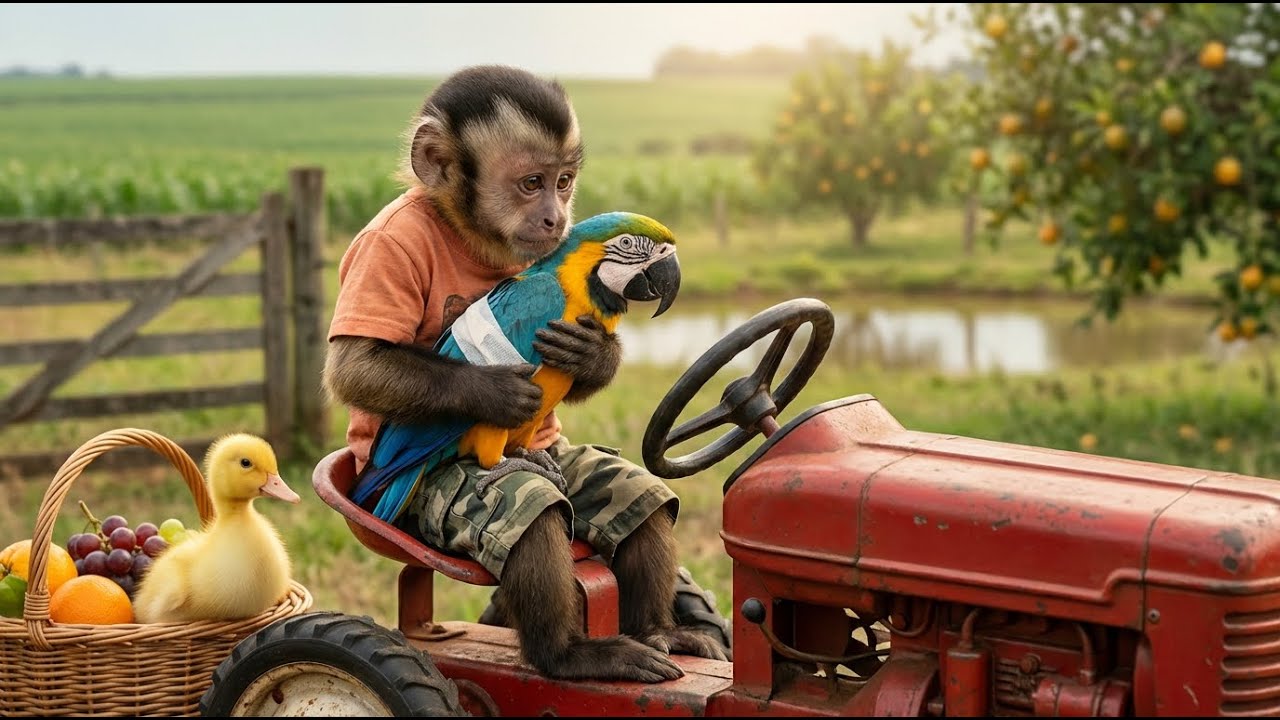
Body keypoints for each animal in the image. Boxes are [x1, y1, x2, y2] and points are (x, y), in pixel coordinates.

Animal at [323, 65, 727, 683]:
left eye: (564, 183)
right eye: (631, 245)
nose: (553, 217)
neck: (580, 285)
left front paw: (593, 355)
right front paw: (501, 405)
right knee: (521, 502)